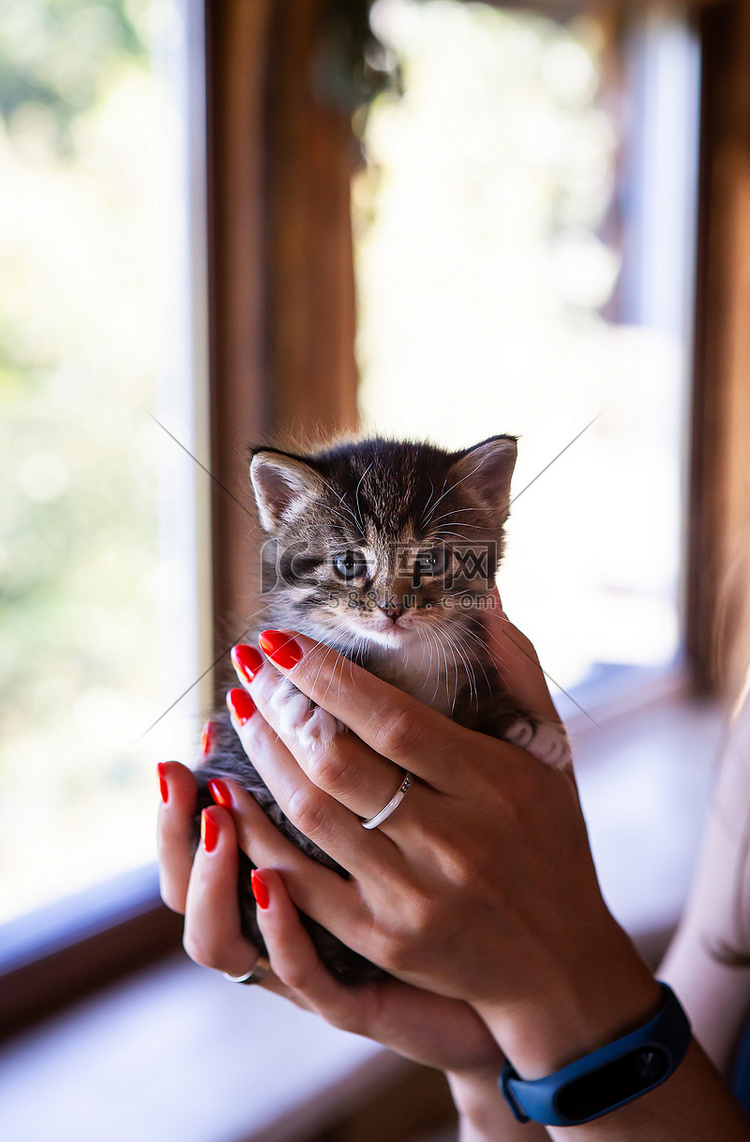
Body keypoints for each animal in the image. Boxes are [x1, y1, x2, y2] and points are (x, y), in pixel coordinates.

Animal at [192, 436, 568, 982]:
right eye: (349, 563)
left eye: (431, 560)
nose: (393, 609)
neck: (403, 659)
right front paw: (307, 702)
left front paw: (527, 724)